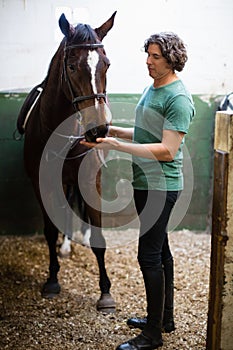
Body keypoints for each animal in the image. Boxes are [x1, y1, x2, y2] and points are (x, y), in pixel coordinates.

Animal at [20, 11, 116, 312]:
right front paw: (52, 280)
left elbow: (99, 237)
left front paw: (105, 292)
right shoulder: (42, 183)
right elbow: (50, 230)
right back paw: (65, 246)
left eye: (106, 64)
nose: (98, 129)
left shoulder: (90, 178)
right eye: (72, 66)